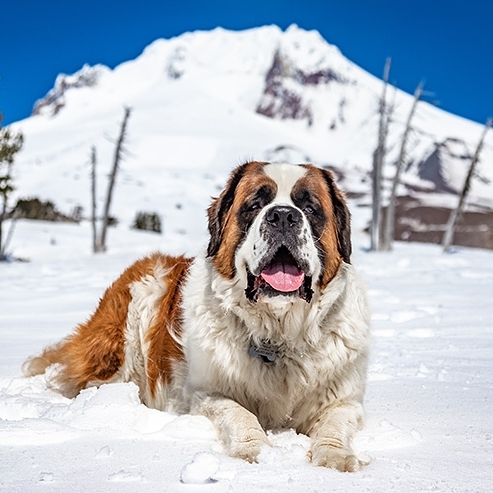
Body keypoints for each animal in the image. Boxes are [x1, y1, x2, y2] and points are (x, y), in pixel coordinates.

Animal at [23, 160, 368, 468]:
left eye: (309, 208)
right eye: (254, 206)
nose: (283, 216)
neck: (278, 334)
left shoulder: (345, 399)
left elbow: (336, 422)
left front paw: (335, 457)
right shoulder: (204, 395)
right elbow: (239, 413)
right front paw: (254, 450)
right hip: (136, 312)